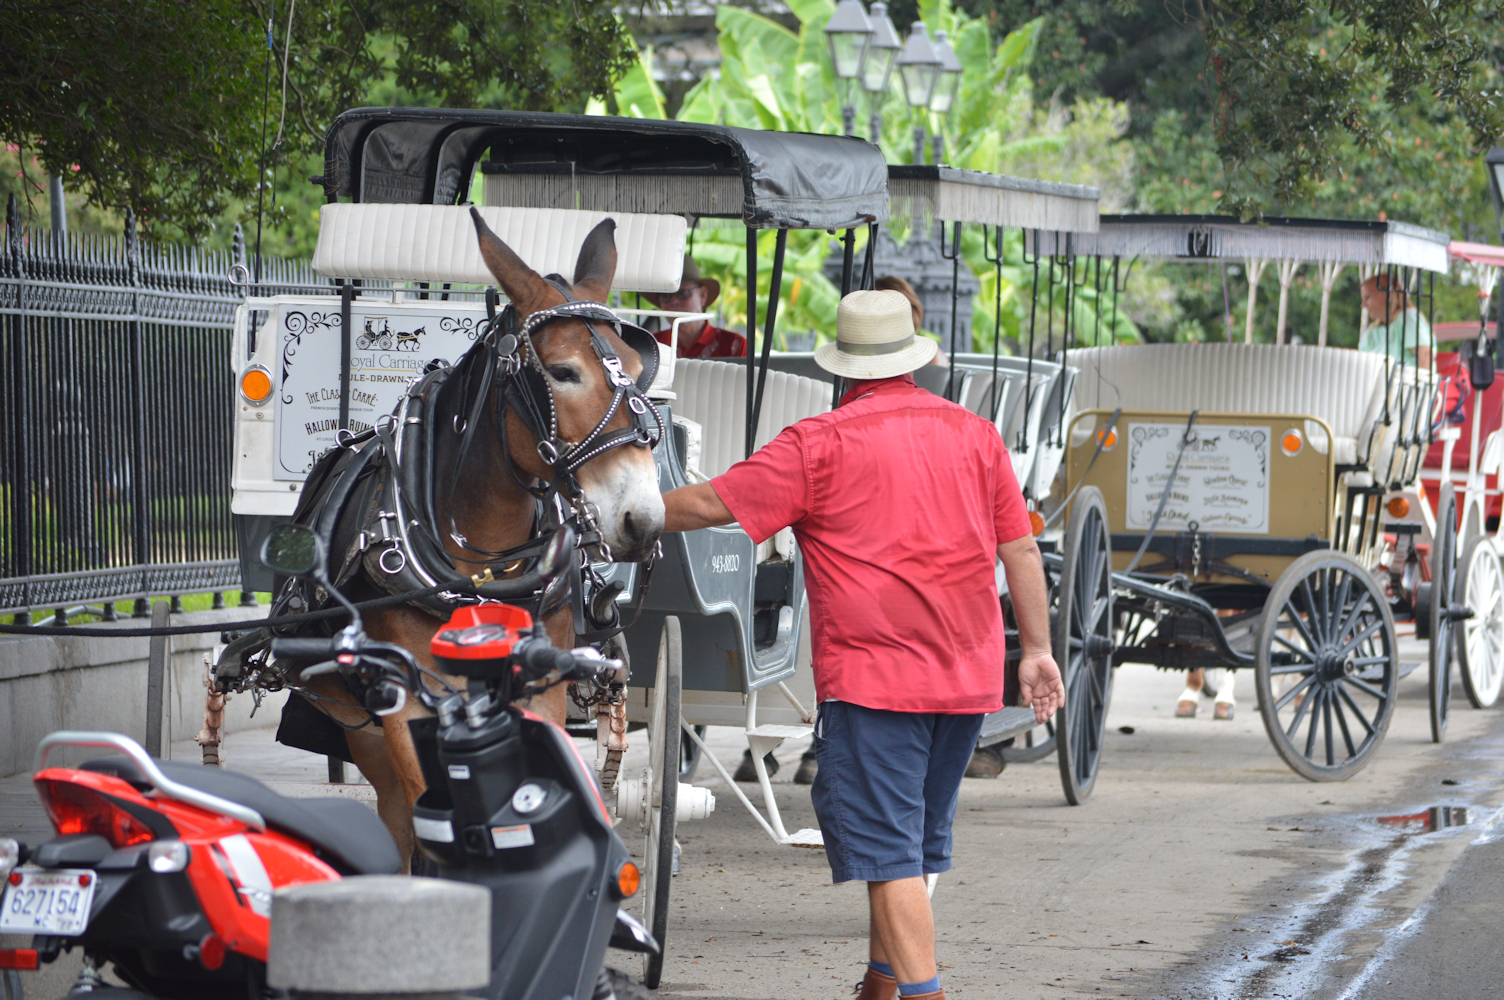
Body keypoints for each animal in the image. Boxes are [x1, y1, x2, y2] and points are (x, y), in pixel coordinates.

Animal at [290, 212, 665, 868]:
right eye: (563, 371)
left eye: (635, 362)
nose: (641, 520)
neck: (483, 566)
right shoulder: (410, 700)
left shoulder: (540, 683)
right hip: (358, 722)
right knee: (396, 814)